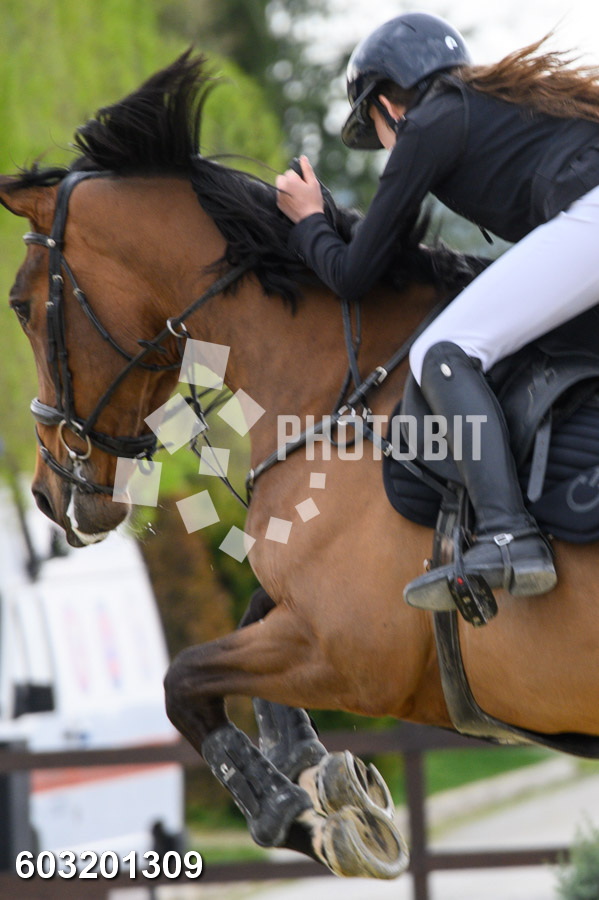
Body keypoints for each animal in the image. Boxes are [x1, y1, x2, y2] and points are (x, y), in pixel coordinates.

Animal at [2, 52, 599, 879]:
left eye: (22, 306)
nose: (46, 496)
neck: (337, 391)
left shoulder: (349, 653)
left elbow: (182, 681)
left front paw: (297, 816)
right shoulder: (309, 620)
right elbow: (248, 617)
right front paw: (333, 784)